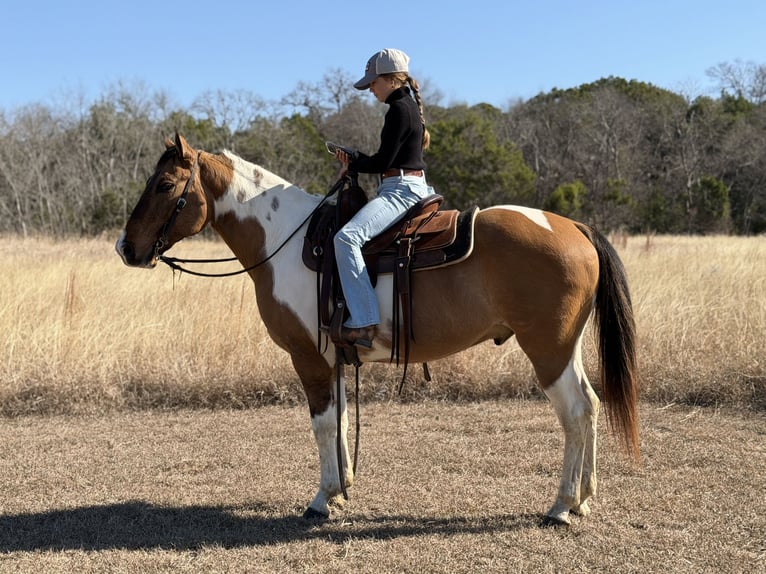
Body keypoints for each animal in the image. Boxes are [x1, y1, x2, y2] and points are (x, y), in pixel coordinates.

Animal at [115, 133, 639, 525]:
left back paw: (561, 506)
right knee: (591, 405)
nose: (126, 248)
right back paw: (584, 498)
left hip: (547, 350)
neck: (287, 240)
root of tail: (572, 227)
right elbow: (341, 422)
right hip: (565, 349)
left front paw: (322, 499)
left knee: (575, 412)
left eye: (165, 184)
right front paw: (342, 490)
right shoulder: (334, 360)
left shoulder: (308, 358)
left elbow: (323, 425)